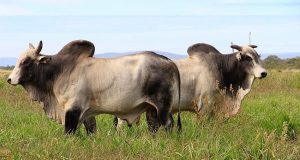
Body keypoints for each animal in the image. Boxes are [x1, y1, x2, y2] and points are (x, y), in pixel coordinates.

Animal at [7, 39, 180, 134]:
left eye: (26, 61)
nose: (9, 79)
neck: (60, 70)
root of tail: (169, 61)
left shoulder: (73, 108)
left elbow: (69, 131)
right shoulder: (87, 112)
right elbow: (90, 129)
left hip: (162, 106)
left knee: (168, 125)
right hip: (151, 109)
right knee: (154, 126)